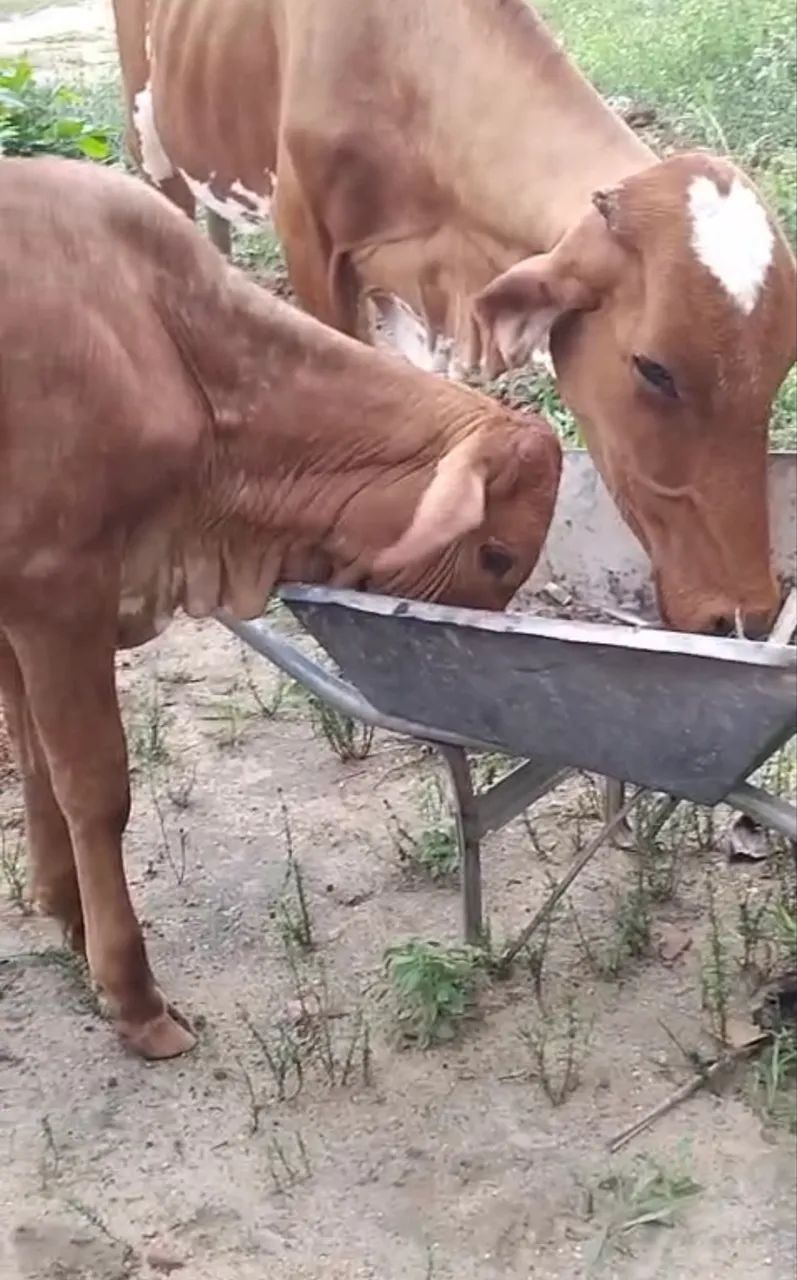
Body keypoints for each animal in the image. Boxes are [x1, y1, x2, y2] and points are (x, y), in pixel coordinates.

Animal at [0, 156, 561, 1058]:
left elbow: (32, 760)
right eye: (497, 553)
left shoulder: (21, 604)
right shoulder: (59, 597)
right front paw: (133, 996)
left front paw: (64, 911)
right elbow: (94, 787)